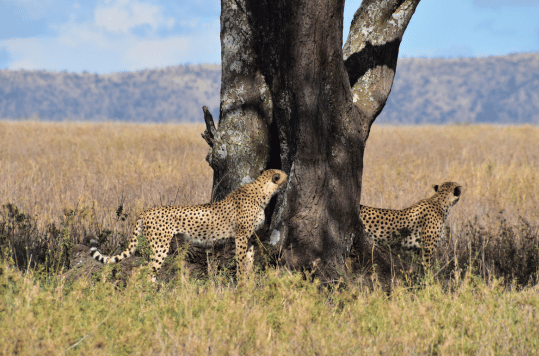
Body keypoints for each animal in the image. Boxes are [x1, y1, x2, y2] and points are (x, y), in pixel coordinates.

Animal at [90, 170, 288, 280]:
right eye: (285, 177)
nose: (290, 178)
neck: (263, 192)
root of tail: (146, 211)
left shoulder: (250, 237)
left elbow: (248, 260)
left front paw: (248, 281)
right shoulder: (241, 236)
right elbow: (240, 260)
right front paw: (240, 284)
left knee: (145, 268)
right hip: (160, 246)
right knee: (146, 270)